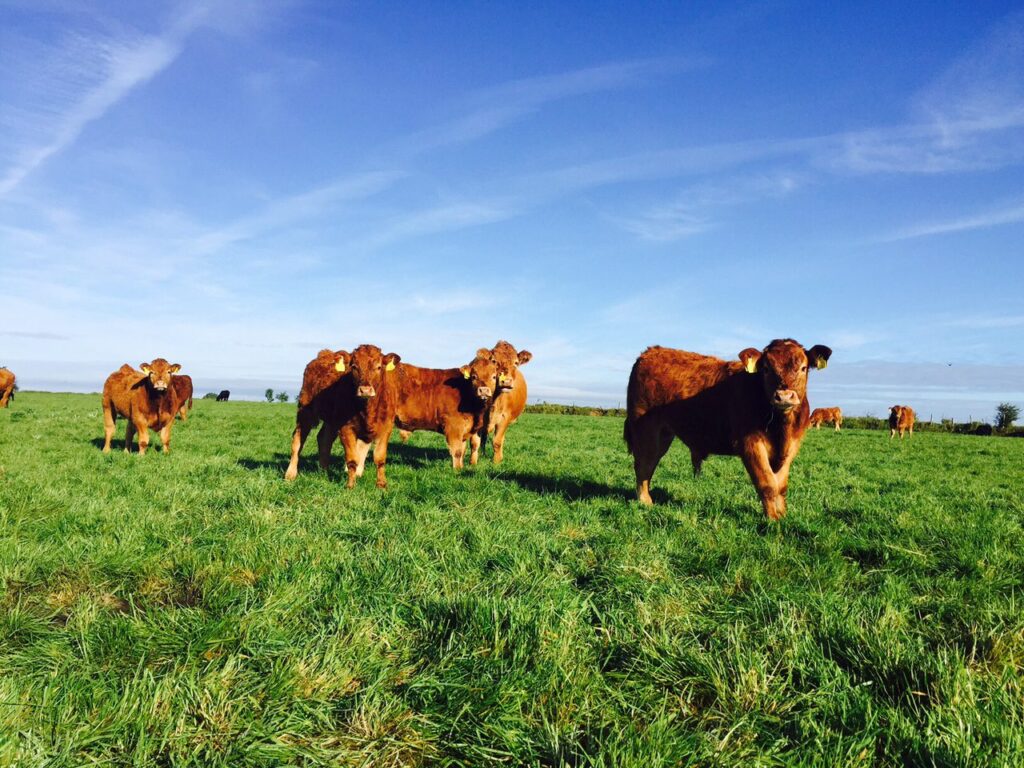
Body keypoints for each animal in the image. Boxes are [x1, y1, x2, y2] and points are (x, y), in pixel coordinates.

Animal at [624, 339, 832, 520]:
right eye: (766, 369)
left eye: (803, 368)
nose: (784, 396)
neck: (781, 429)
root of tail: (650, 352)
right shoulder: (750, 444)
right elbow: (767, 483)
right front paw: (773, 519)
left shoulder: (791, 448)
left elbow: (780, 486)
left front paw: (781, 514)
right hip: (646, 429)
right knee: (644, 464)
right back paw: (644, 501)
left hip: (664, 434)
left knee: (649, 465)